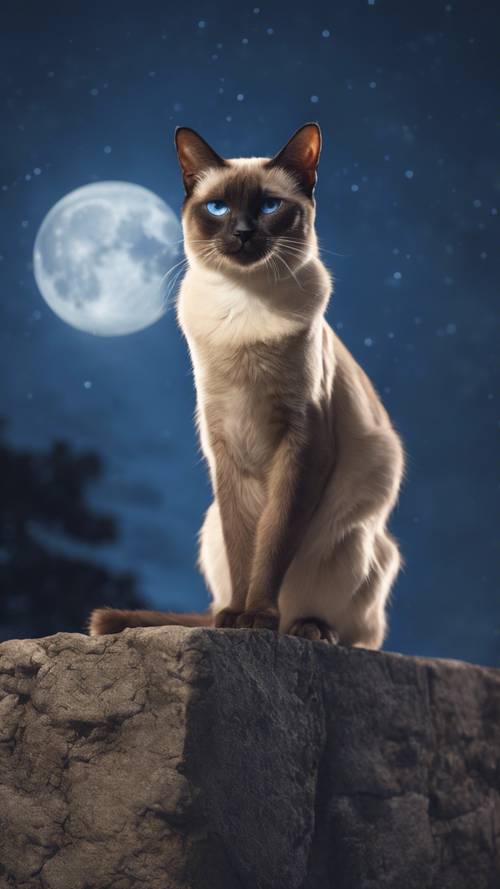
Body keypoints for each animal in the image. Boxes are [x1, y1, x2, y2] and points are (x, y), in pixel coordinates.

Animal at [88, 121, 404, 644]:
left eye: (270, 206)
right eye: (218, 208)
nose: (241, 233)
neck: (243, 306)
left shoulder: (302, 445)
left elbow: (272, 542)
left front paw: (258, 618)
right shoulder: (225, 448)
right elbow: (245, 549)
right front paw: (238, 619)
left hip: (355, 541)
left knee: (361, 632)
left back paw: (306, 628)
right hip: (210, 526)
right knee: (218, 596)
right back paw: (231, 617)